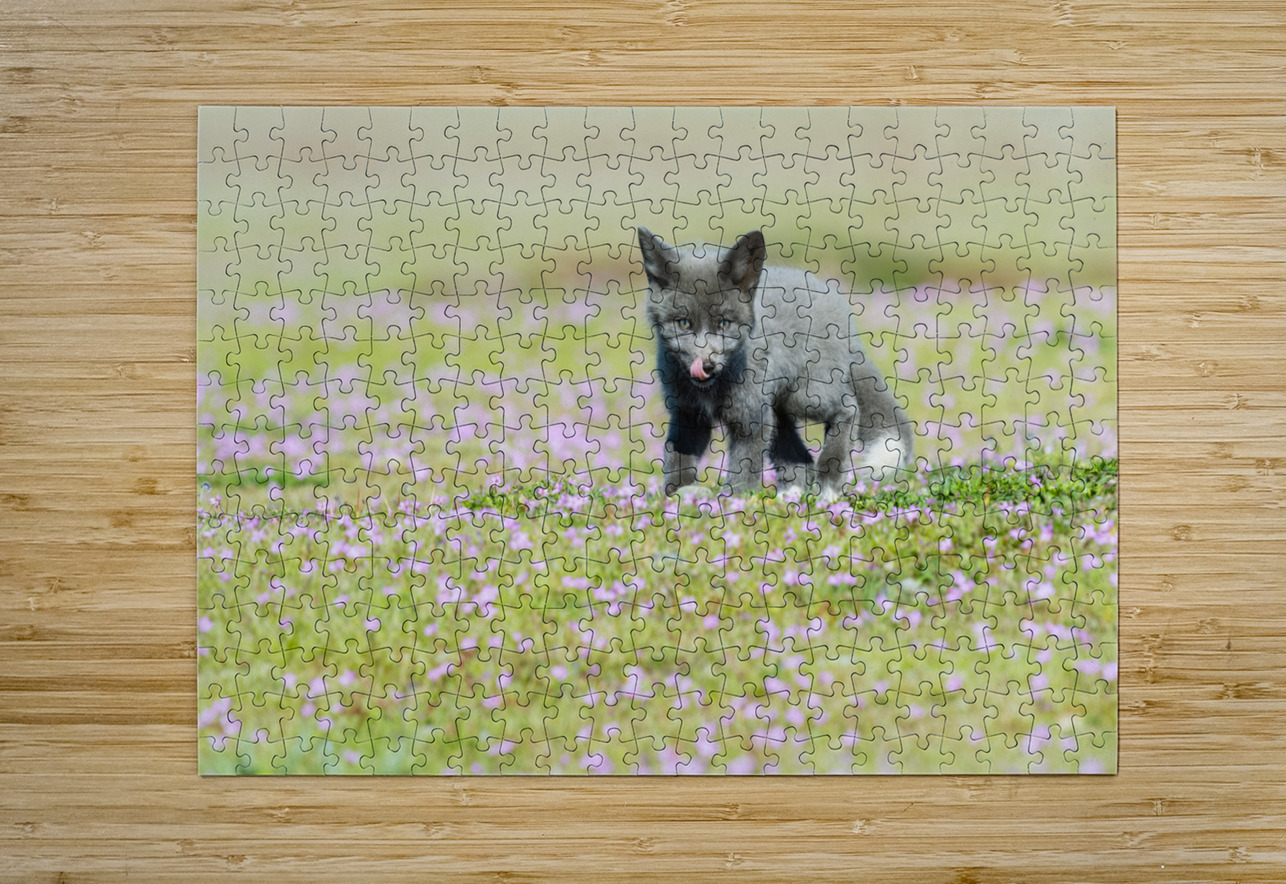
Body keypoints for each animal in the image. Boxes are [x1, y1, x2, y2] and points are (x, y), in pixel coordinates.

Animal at [636, 227, 914, 497]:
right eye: (684, 323)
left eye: (724, 324)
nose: (706, 365)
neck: (713, 388)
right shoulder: (687, 414)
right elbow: (678, 460)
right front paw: (677, 498)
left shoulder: (752, 418)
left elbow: (743, 470)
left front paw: (734, 504)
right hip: (780, 410)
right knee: (800, 458)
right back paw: (790, 496)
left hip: (805, 396)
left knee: (849, 407)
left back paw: (828, 485)